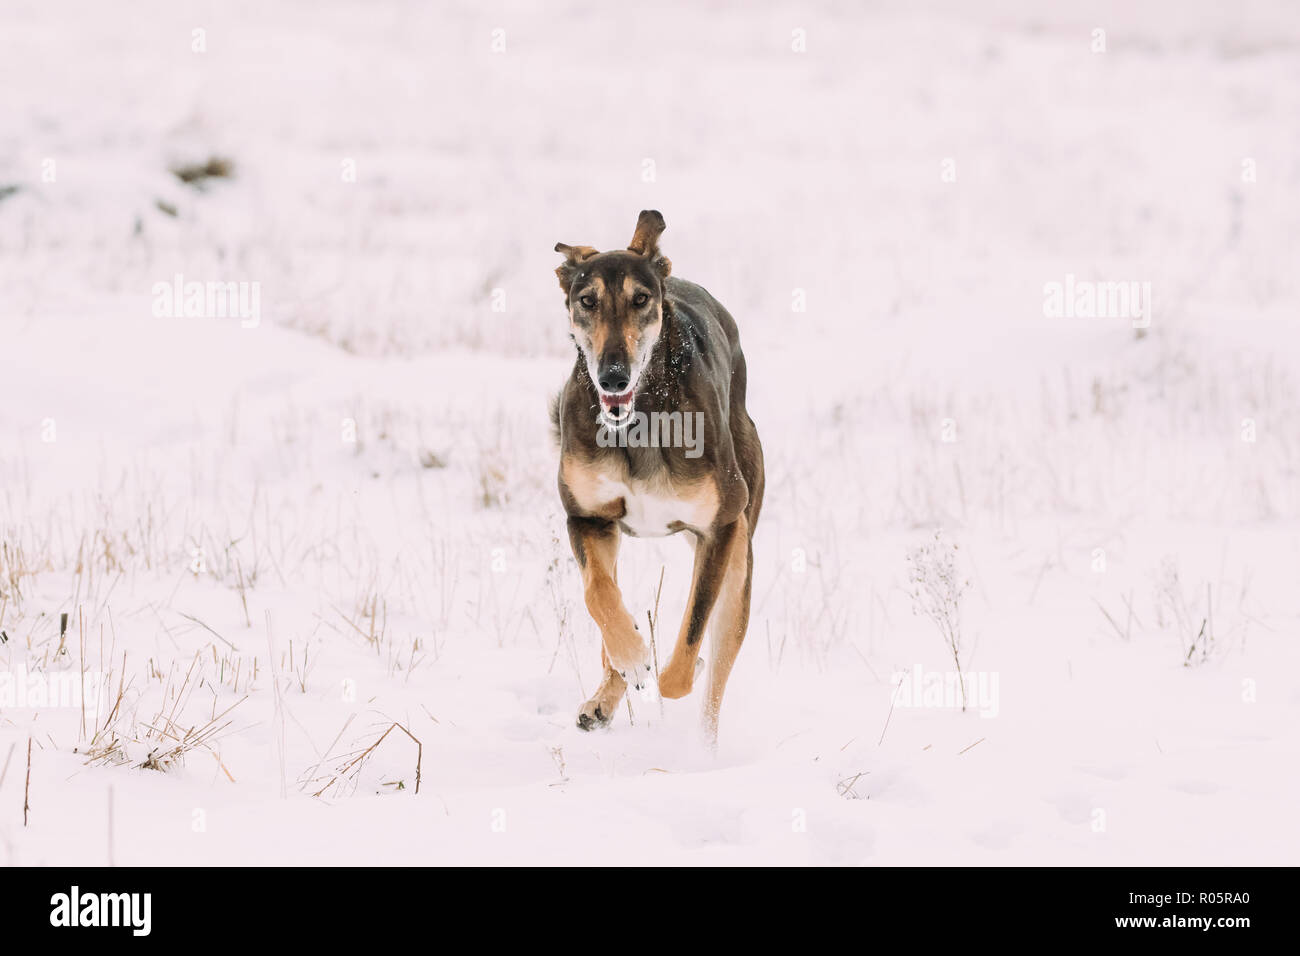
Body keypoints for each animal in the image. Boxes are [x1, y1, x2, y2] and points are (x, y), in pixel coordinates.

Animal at [548, 210, 759, 738]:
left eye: (640, 299)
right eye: (587, 300)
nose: (613, 376)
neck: (640, 417)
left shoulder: (719, 528)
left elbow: (688, 643)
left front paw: (677, 668)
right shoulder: (587, 519)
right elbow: (599, 595)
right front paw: (630, 658)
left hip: (741, 551)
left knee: (715, 672)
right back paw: (608, 692)